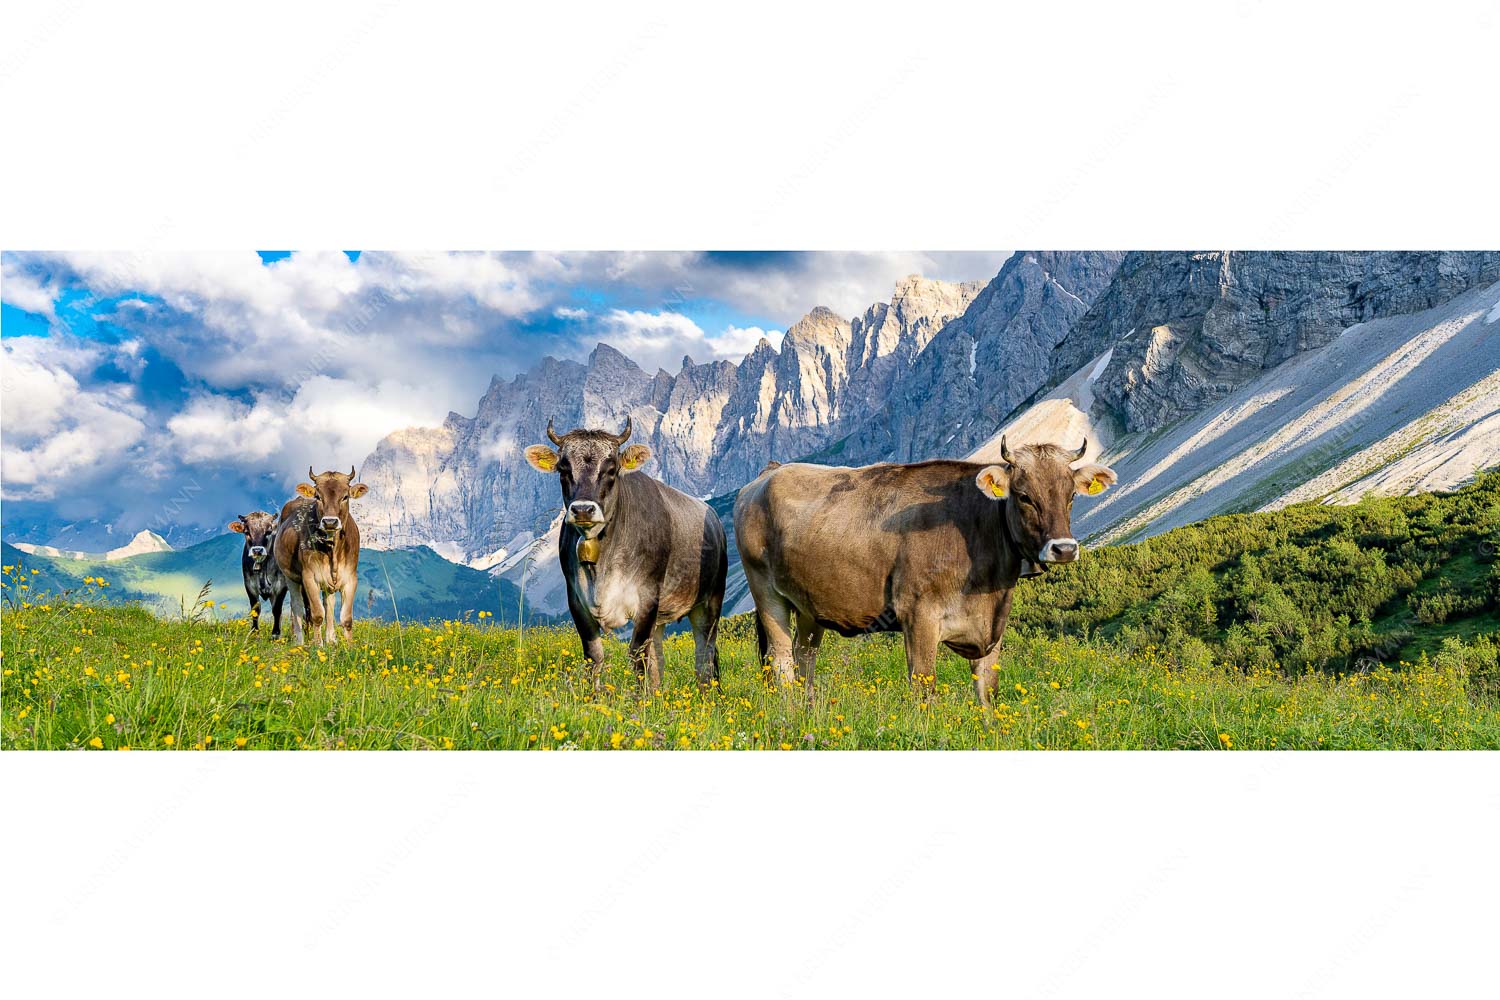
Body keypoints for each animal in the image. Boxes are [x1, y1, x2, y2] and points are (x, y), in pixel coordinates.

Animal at [273, 466, 368, 645]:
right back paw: (299, 641)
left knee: (329, 604)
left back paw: (331, 640)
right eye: (318, 496)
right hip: (290, 577)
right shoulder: (309, 577)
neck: (333, 551)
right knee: (297, 607)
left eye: (345, 496)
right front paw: (318, 645)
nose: (330, 522)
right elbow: (317, 614)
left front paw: (349, 646)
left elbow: (346, 618)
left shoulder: (351, 578)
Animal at [523, 417, 728, 693]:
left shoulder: (648, 597)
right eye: (563, 470)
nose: (583, 509)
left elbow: (637, 654)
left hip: (709, 601)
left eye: (611, 470)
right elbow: (594, 656)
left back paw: (708, 695)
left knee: (704, 653)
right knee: (659, 656)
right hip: (662, 616)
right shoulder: (575, 599)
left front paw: (640, 700)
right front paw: (594, 698)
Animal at [733, 436, 1117, 706]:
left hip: (810, 605)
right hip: (766, 592)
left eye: (1070, 496)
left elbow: (987, 693)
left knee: (805, 659)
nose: (1064, 549)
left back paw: (809, 714)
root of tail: (770, 472)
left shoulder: (992, 626)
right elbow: (924, 686)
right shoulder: (918, 614)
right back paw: (790, 716)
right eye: (1023, 496)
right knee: (781, 661)